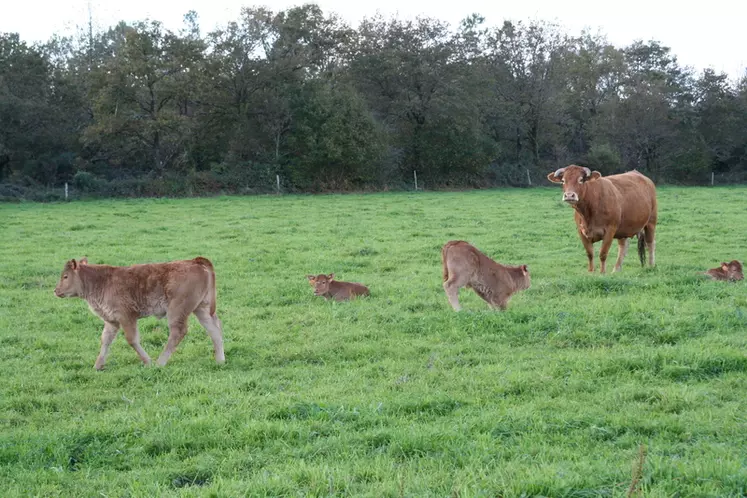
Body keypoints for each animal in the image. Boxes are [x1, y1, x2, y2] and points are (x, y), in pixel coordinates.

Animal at [53, 256, 225, 370]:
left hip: (177, 310)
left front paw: (147, 361)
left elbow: (132, 339)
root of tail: (194, 261)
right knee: (215, 329)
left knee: (178, 332)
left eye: (65, 276)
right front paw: (97, 365)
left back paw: (160, 362)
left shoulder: (126, 316)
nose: (56, 290)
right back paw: (220, 360)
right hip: (202, 309)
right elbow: (105, 340)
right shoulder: (111, 321)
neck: (102, 282)